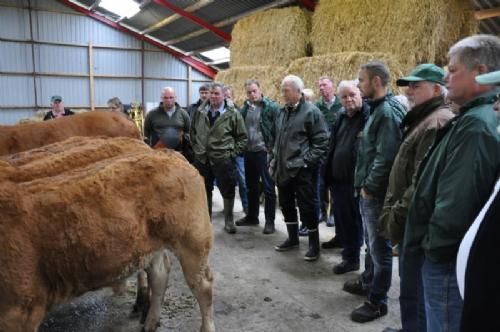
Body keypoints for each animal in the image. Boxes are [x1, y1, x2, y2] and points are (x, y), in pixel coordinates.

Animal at [0, 136, 213, 330]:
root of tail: (168, 153)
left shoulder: (21, 310)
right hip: (151, 245)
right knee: (159, 275)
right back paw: (150, 321)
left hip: (193, 242)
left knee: (203, 287)